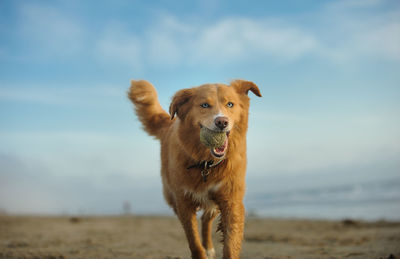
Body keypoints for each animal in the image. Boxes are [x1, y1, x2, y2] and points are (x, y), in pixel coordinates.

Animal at [126, 80, 260, 258]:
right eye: (204, 105)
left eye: (230, 104)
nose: (222, 122)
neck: (206, 163)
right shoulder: (184, 201)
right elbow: (193, 240)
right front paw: (200, 252)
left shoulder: (231, 200)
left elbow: (231, 242)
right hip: (171, 196)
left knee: (206, 218)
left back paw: (209, 247)